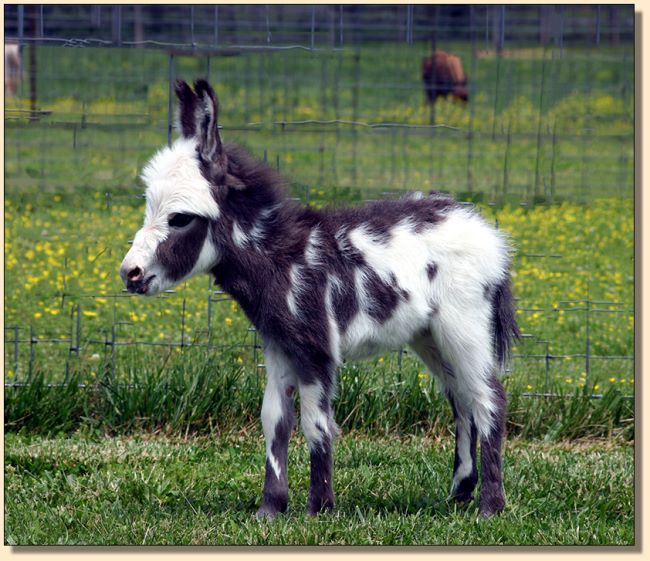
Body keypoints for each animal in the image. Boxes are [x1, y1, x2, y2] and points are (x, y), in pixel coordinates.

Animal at [120, 79, 516, 516]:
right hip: (429, 336)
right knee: (461, 399)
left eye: (180, 218)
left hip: (464, 327)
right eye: (149, 207)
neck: (279, 255)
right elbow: (274, 420)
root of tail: (487, 233)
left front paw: (319, 507)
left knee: (488, 399)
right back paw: (459, 493)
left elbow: (315, 423)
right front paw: (271, 509)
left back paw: (490, 506)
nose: (129, 273)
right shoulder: (279, 345)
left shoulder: (316, 349)